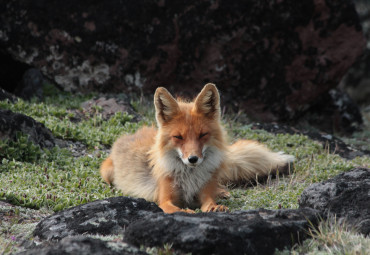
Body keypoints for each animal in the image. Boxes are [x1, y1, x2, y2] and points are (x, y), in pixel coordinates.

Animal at [99, 83, 294, 213]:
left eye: (202, 135)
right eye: (178, 137)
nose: (193, 159)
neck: (189, 178)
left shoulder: (204, 192)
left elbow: (209, 201)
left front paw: (215, 206)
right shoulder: (164, 199)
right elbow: (176, 209)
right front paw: (187, 212)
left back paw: (222, 192)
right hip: (107, 173)